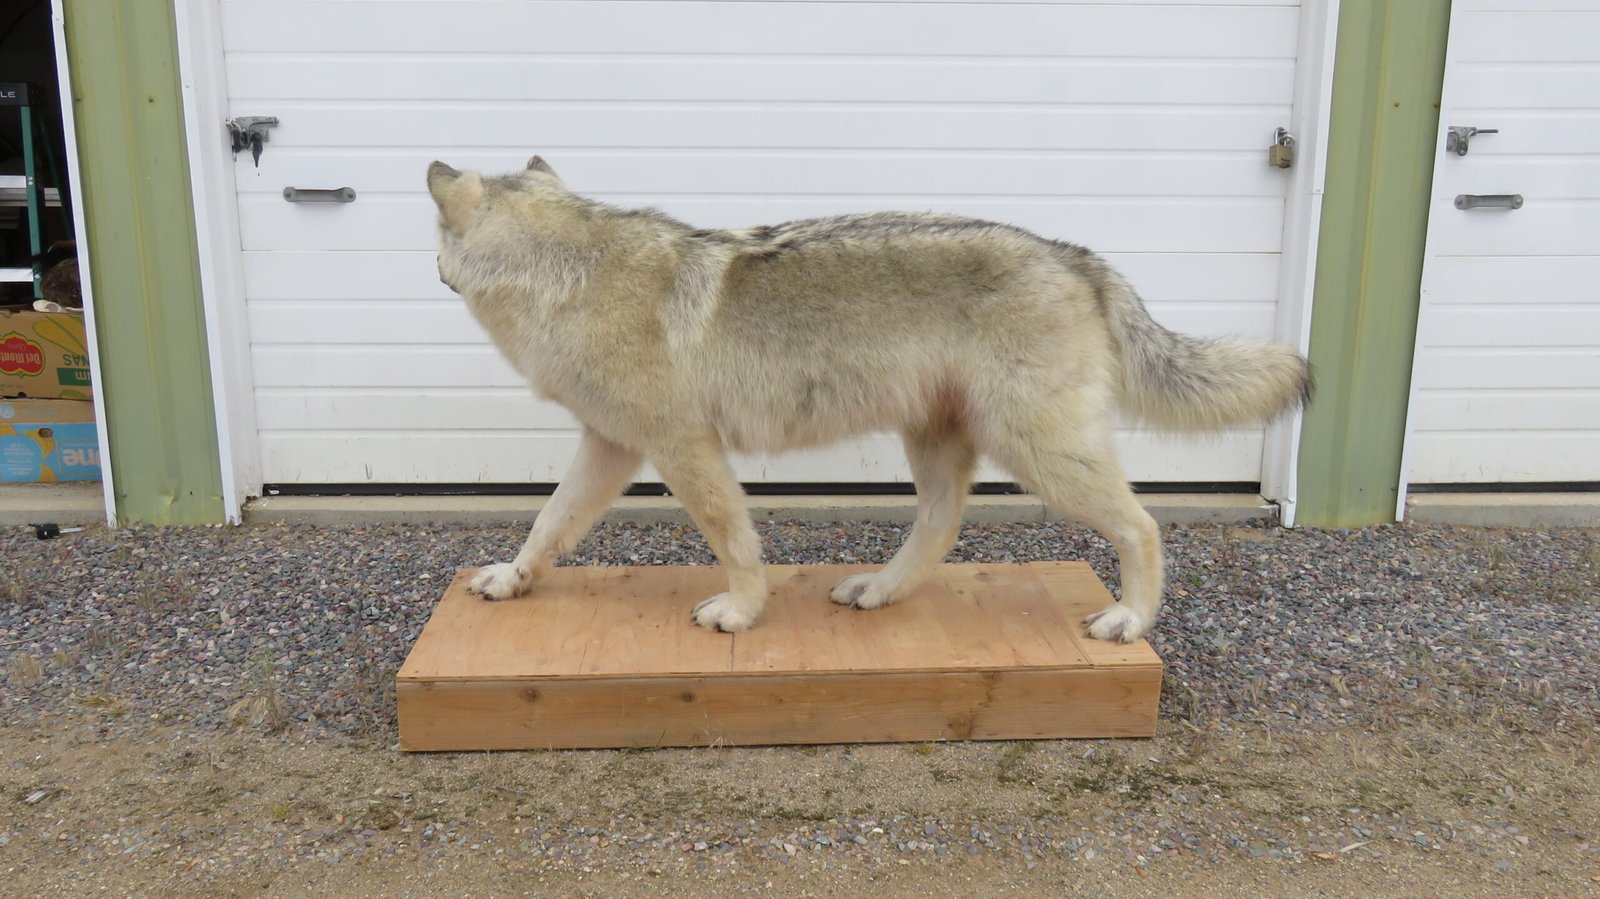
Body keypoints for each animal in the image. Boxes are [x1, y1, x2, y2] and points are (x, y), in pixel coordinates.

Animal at [427, 157, 1310, 643]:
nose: (428, 271)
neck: (566, 274)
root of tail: (1075, 255)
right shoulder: (611, 447)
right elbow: (547, 524)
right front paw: (511, 579)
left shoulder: (684, 450)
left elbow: (735, 543)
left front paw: (741, 613)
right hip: (943, 442)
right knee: (941, 525)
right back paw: (878, 591)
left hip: (1041, 453)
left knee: (1142, 525)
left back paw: (1129, 621)